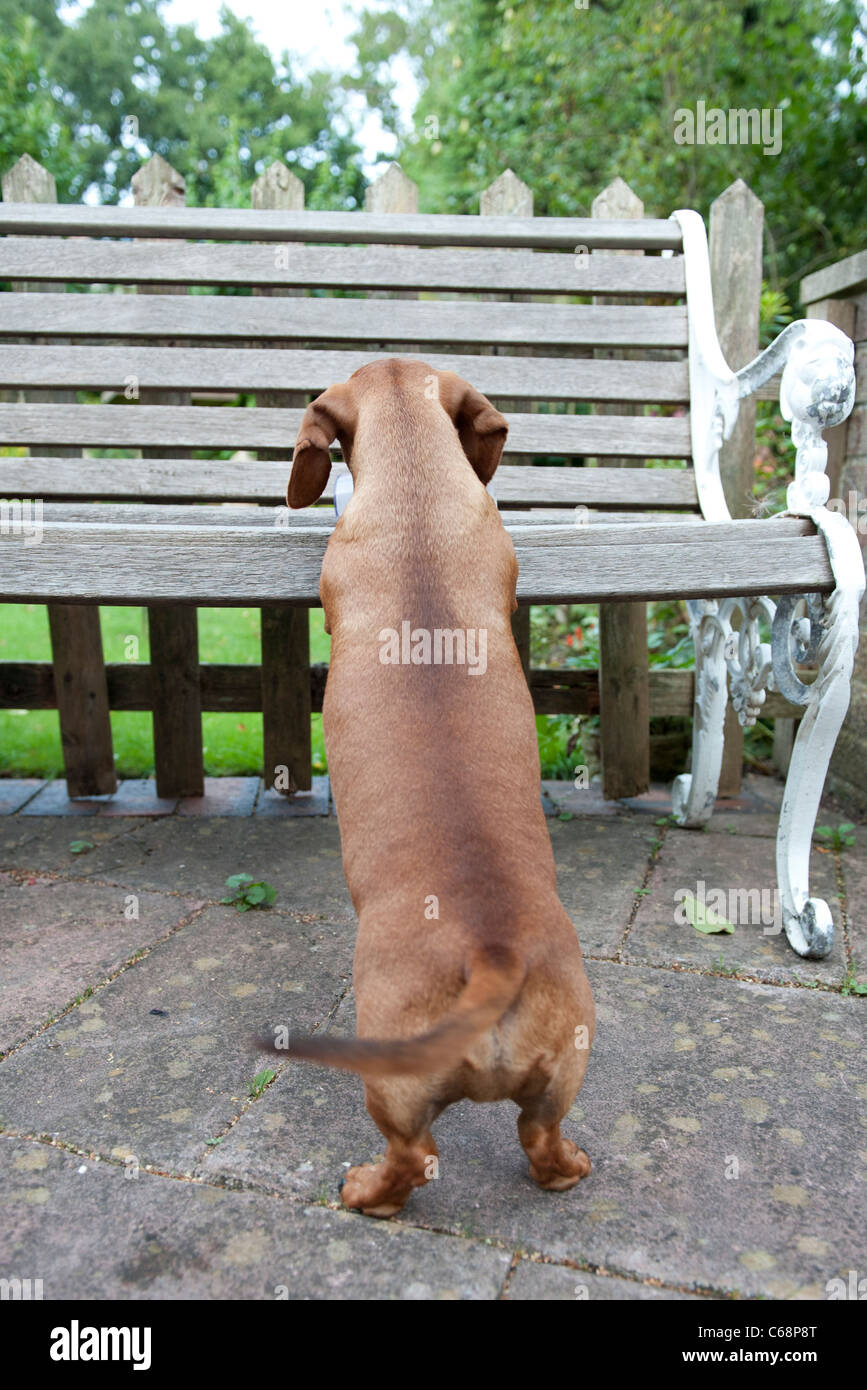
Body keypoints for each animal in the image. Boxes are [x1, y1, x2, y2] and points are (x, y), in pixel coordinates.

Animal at [263, 358, 591, 1217]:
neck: (416, 496)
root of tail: (490, 952)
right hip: (562, 1069)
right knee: (540, 1138)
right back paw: (569, 1168)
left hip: (393, 1082)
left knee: (412, 1156)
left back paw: (365, 1192)